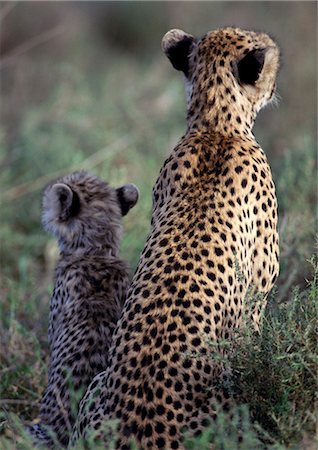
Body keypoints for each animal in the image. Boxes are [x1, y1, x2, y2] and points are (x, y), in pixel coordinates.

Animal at [73, 26, 280, 448]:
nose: (277, 79)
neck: (216, 124)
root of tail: (140, 431)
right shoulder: (258, 292)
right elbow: (255, 337)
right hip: (233, 404)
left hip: (96, 389)